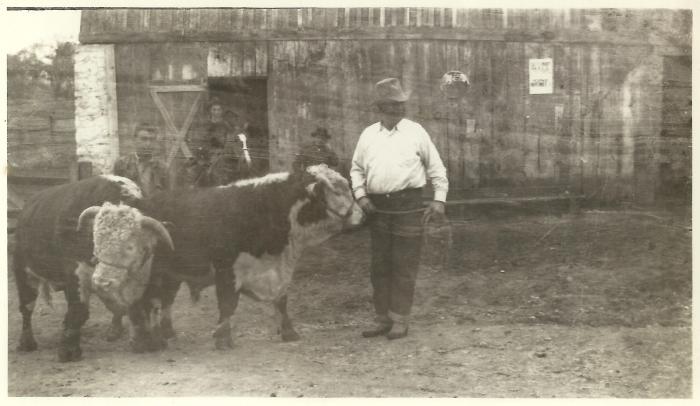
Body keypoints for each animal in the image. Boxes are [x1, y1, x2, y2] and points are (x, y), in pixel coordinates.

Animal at [139, 163, 364, 348]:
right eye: (336, 192)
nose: (361, 215)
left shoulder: (279, 271)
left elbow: (281, 300)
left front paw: (289, 333)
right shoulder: (227, 271)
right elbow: (228, 304)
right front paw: (223, 339)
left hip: (173, 275)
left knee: (166, 299)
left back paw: (168, 333)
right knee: (152, 301)